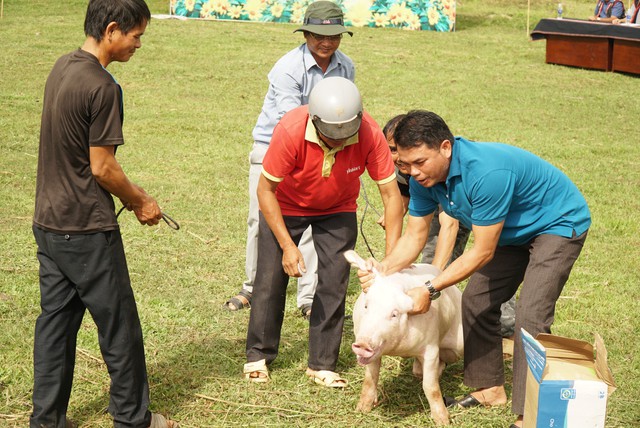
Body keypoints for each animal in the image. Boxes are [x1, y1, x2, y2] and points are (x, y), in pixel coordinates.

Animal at [344, 249, 460, 426]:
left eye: (394, 314)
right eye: (366, 306)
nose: (363, 344)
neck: (399, 349)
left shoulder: (431, 348)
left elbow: (430, 386)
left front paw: (443, 421)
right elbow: (370, 379)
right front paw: (362, 409)